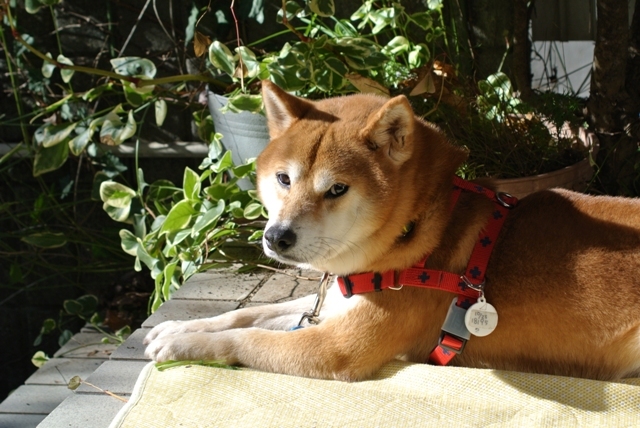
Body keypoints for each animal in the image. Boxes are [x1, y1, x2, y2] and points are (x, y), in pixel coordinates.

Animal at [144, 80, 640, 382]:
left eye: (337, 189)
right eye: (283, 179)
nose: (276, 237)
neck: (417, 234)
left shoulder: (336, 348)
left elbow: (247, 337)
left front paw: (184, 344)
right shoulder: (337, 301)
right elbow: (249, 315)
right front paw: (179, 327)